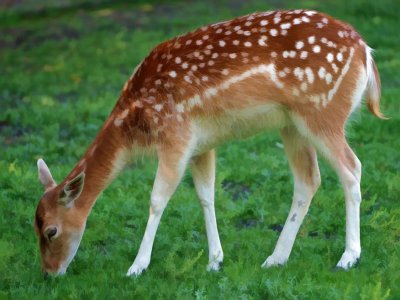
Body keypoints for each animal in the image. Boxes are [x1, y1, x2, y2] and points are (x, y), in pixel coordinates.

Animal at [34, 8, 384, 276]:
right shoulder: (201, 144)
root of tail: (365, 52)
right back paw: (275, 258)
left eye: (51, 230)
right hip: (292, 124)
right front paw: (215, 260)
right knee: (308, 180)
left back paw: (348, 256)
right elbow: (206, 195)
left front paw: (137, 266)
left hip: (322, 111)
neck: (134, 123)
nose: (49, 273)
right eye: (33, 226)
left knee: (352, 168)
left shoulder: (176, 135)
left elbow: (157, 199)